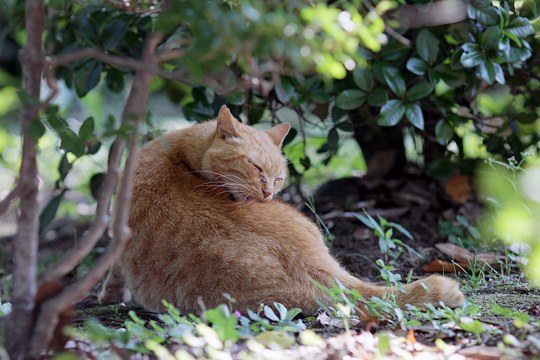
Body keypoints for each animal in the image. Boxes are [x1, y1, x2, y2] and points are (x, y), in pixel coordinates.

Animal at [100, 105, 464, 320]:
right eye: (255, 167)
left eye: (278, 178)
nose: (268, 193)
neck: (176, 149)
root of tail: (314, 267)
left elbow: (114, 268)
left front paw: (108, 294)